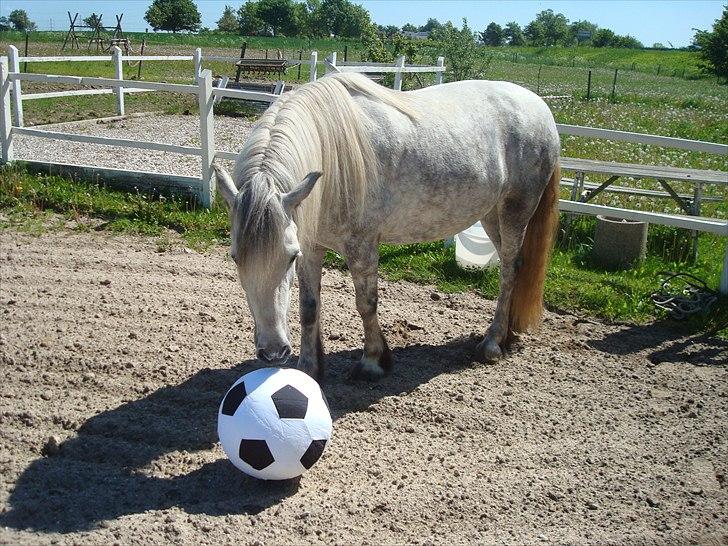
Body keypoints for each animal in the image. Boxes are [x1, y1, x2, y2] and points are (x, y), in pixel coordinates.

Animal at [213, 72, 560, 382]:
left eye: (288, 258)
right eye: (235, 258)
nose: (273, 352)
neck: (332, 153)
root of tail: (540, 107)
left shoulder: (362, 246)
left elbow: (366, 303)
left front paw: (372, 362)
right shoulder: (311, 247)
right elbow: (309, 307)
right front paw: (309, 368)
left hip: (515, 210)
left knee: (510, 270)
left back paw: (492, 343)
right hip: (490, 214)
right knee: (513, 265)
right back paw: (507, 334)